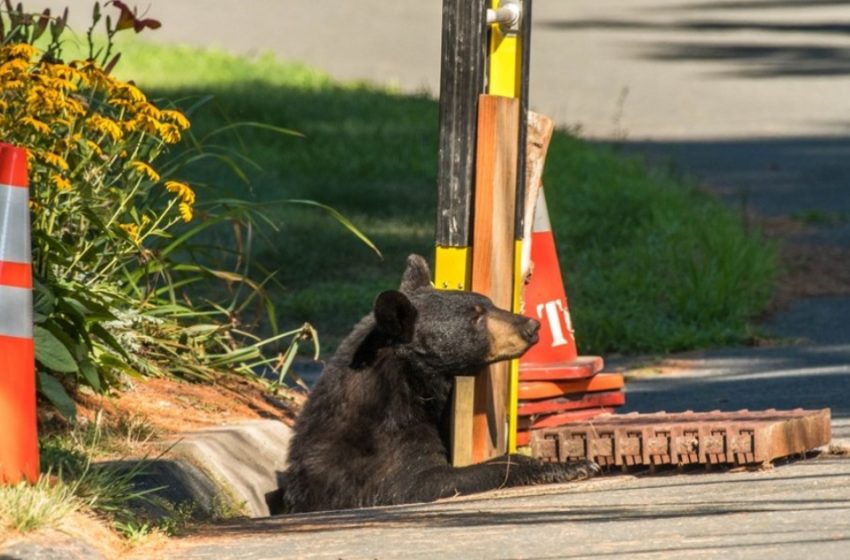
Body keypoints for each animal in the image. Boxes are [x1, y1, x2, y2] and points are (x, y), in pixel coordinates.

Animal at [282, 254, 600, 512]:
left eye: (489, 304)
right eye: (476, 317)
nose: (531, 326)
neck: (409, 382)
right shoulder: (381, 447)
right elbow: (421, 481)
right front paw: (574, 465)